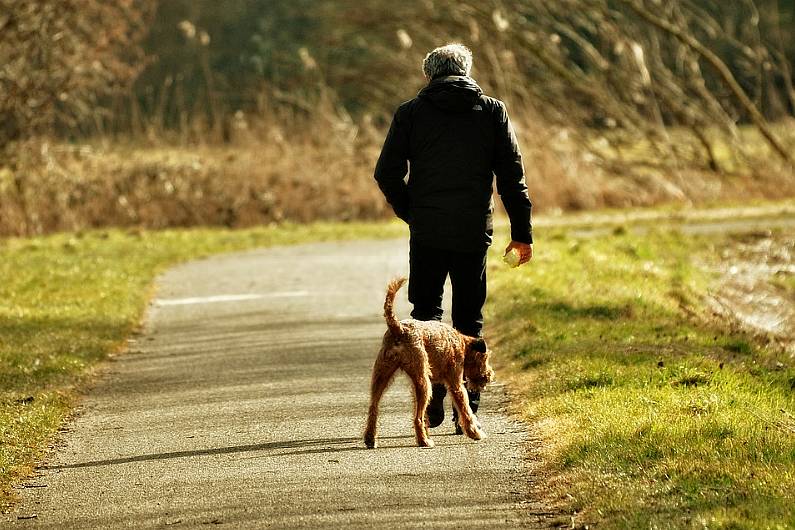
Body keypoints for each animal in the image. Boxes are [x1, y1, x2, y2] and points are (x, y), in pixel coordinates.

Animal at [364, 276, 494, 446]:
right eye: (485, 358)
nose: (490, 375)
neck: (461, 343)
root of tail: (399, 328)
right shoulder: (456, 384)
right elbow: (465, 409)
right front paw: (475, 432)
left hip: (382, 376)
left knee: (373, 408)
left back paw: (370, 439)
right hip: (423, 382)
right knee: (417, 417)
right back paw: (424, 441)